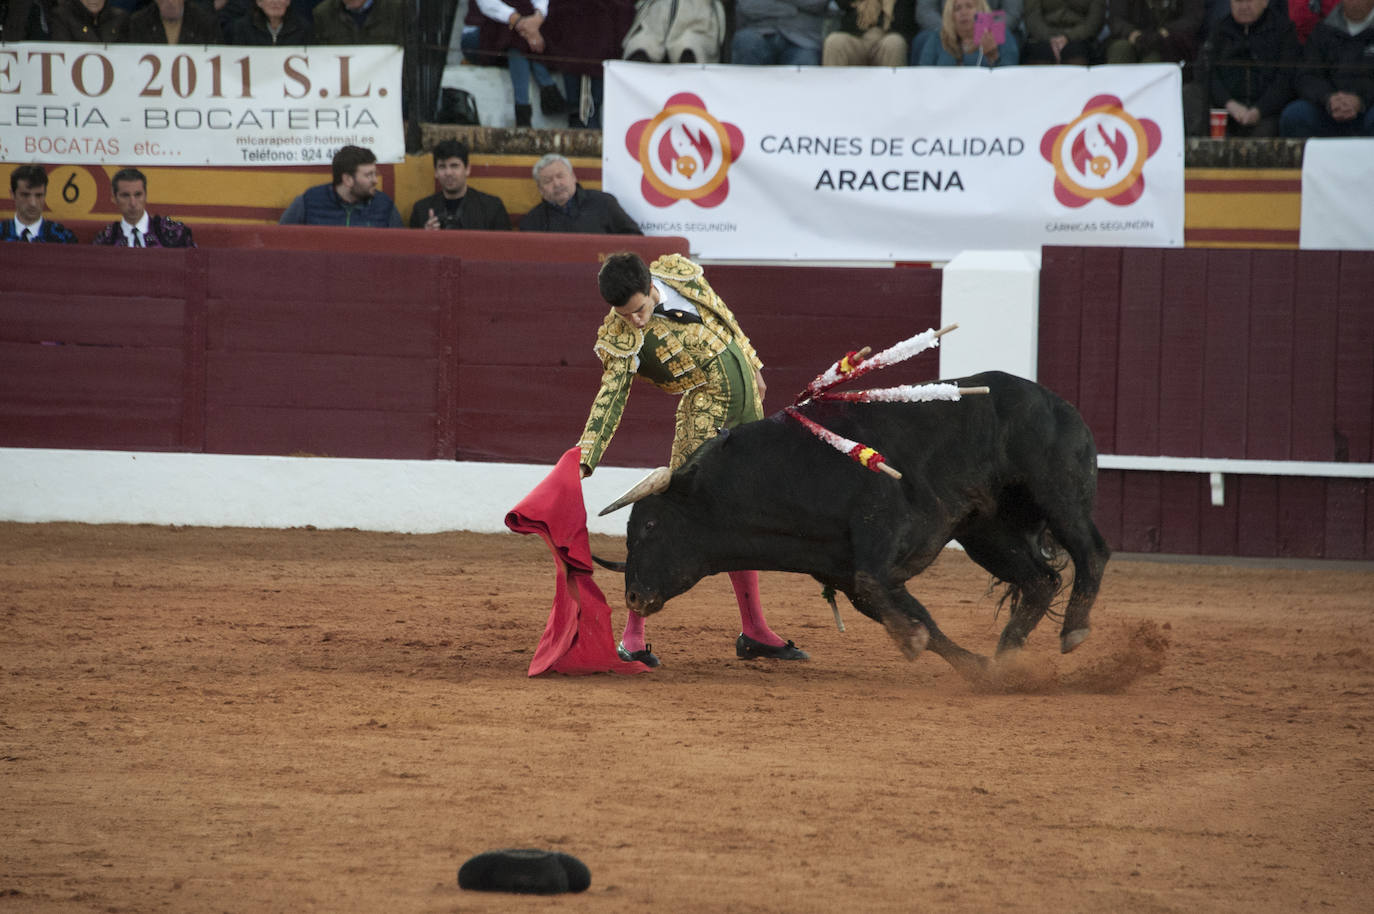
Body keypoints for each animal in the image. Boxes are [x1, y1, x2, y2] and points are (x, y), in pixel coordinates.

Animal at [607, 371, 1110, 676]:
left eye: (649, 526)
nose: (632, 595)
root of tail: (1057, 401)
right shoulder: (847, 574)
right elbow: (919, 618)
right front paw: (977, 668)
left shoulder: (882, 526)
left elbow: (888, 593)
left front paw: (915, 644)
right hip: (987, 534)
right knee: (1040, 580)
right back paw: (1008, 656)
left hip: (1058, 494)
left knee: (1092, 551)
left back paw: (1073, 631)